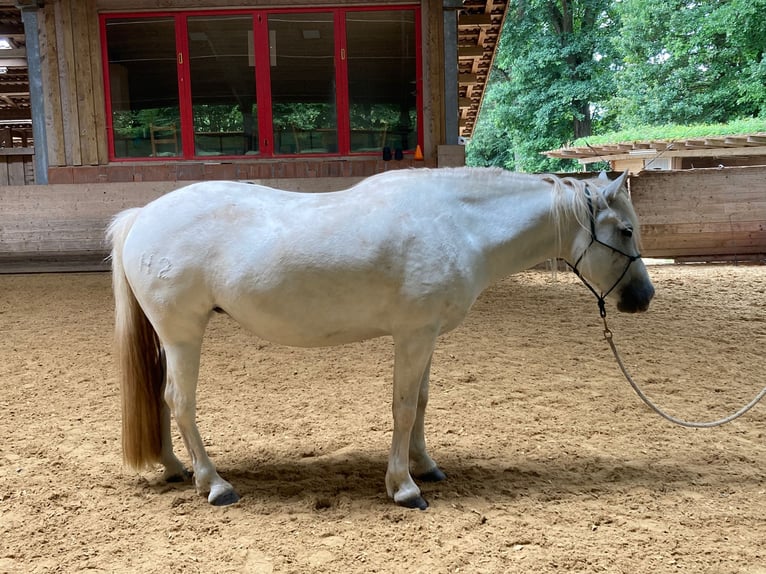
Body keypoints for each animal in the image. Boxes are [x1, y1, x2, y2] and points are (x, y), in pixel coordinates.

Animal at [108, 166, 656, 508]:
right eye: (626, 231)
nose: (643, 297)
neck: (459, 223)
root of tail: (141, 217)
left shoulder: (427, 335)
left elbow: (423, 401)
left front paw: (426, 465)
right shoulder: (412, 335)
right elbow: (404, 406)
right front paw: (405, 487)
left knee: (162, 400)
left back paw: (175, 468)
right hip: (184, 335)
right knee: (180, 401)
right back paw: (214, 484)